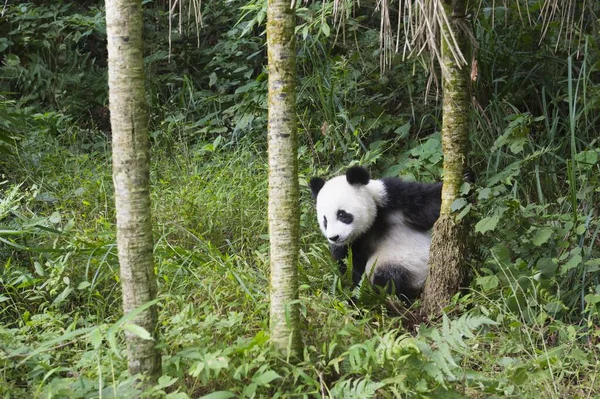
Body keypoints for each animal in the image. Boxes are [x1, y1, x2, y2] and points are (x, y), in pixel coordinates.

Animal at [310, 166, 440, 300]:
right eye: (325, 220)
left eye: (341, 214)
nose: (334, 237)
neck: (373, 223)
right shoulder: (352, 244)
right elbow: (350, 267)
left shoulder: (391, 195)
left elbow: (429, 202)